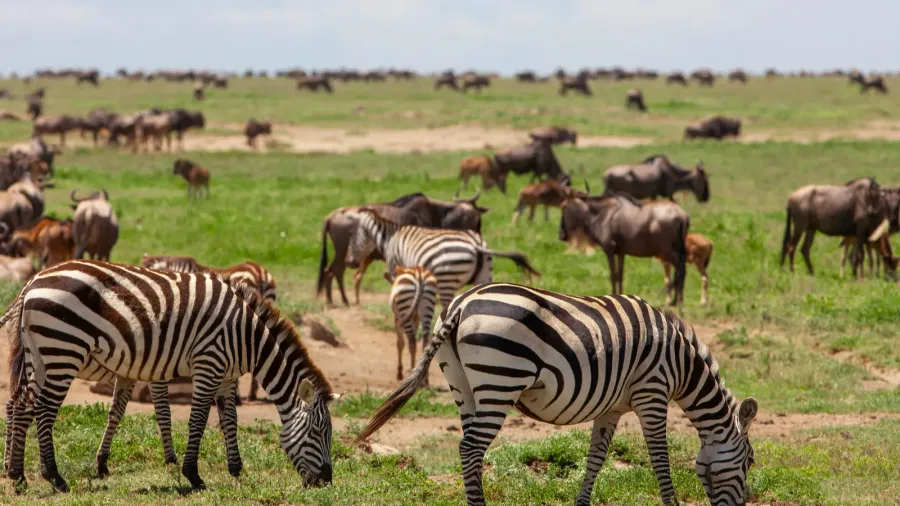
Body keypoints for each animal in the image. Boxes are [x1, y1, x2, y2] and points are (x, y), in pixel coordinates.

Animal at [347, 207, 540, 344]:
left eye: (352, 237)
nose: (349, 262)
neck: (390, 239)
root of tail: (476, 244)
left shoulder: (398, 268)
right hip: (484, 276)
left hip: (447, 279)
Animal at [358, 283, 758, 506]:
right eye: (749, 463)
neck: (683, 366)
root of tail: (460, 304)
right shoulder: (653, 393)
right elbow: (660, 458)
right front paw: (671, 503)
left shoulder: (611, 407)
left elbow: (596, 458)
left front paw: (582, 502)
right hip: (500, 380)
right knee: (471, 449)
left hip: (462, 385)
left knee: (467, 449)